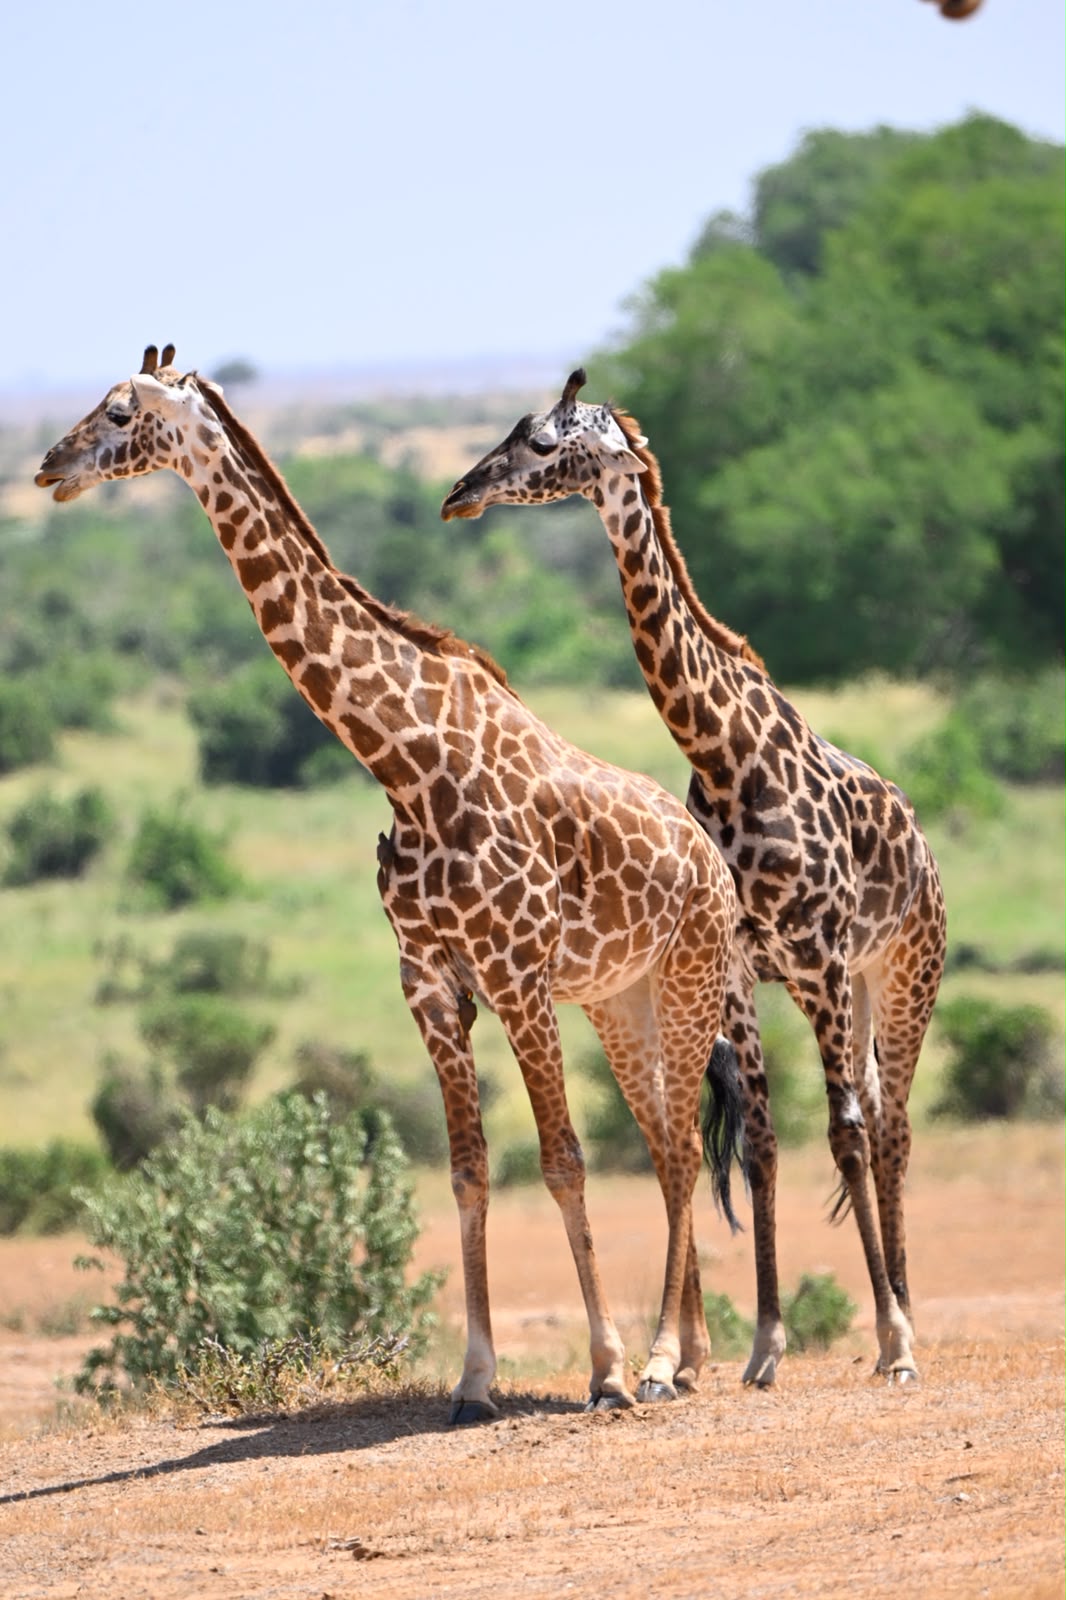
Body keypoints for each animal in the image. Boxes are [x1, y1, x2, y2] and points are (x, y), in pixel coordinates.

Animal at [36, 346, 741, 1421]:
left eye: (120, 412)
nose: (48, 466)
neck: (405, 761)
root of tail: (709, 856)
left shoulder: (517, 977)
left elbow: (564, 1165)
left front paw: (608, 1372)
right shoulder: (431, 984)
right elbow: (466, 1172)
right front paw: (475, 1381)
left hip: (688, 976)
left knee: (683, 1149)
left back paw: (660, 1362)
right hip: (620, 999)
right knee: (667, 1144)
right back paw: (689, 1355)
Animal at [442, 370, 948, 1387]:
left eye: (547, 444)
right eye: (515, 431)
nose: (461, 492)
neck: (723, 752)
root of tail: (925, 851)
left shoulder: (819, 954)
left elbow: (843, 1134)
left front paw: (889, 1340)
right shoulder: (745, 970)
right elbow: (762, 1142)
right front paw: (765, 1346)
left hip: (902, 974)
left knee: (892, 1129)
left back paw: (905, 1329)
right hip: (854, 986)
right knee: (874, 1113)